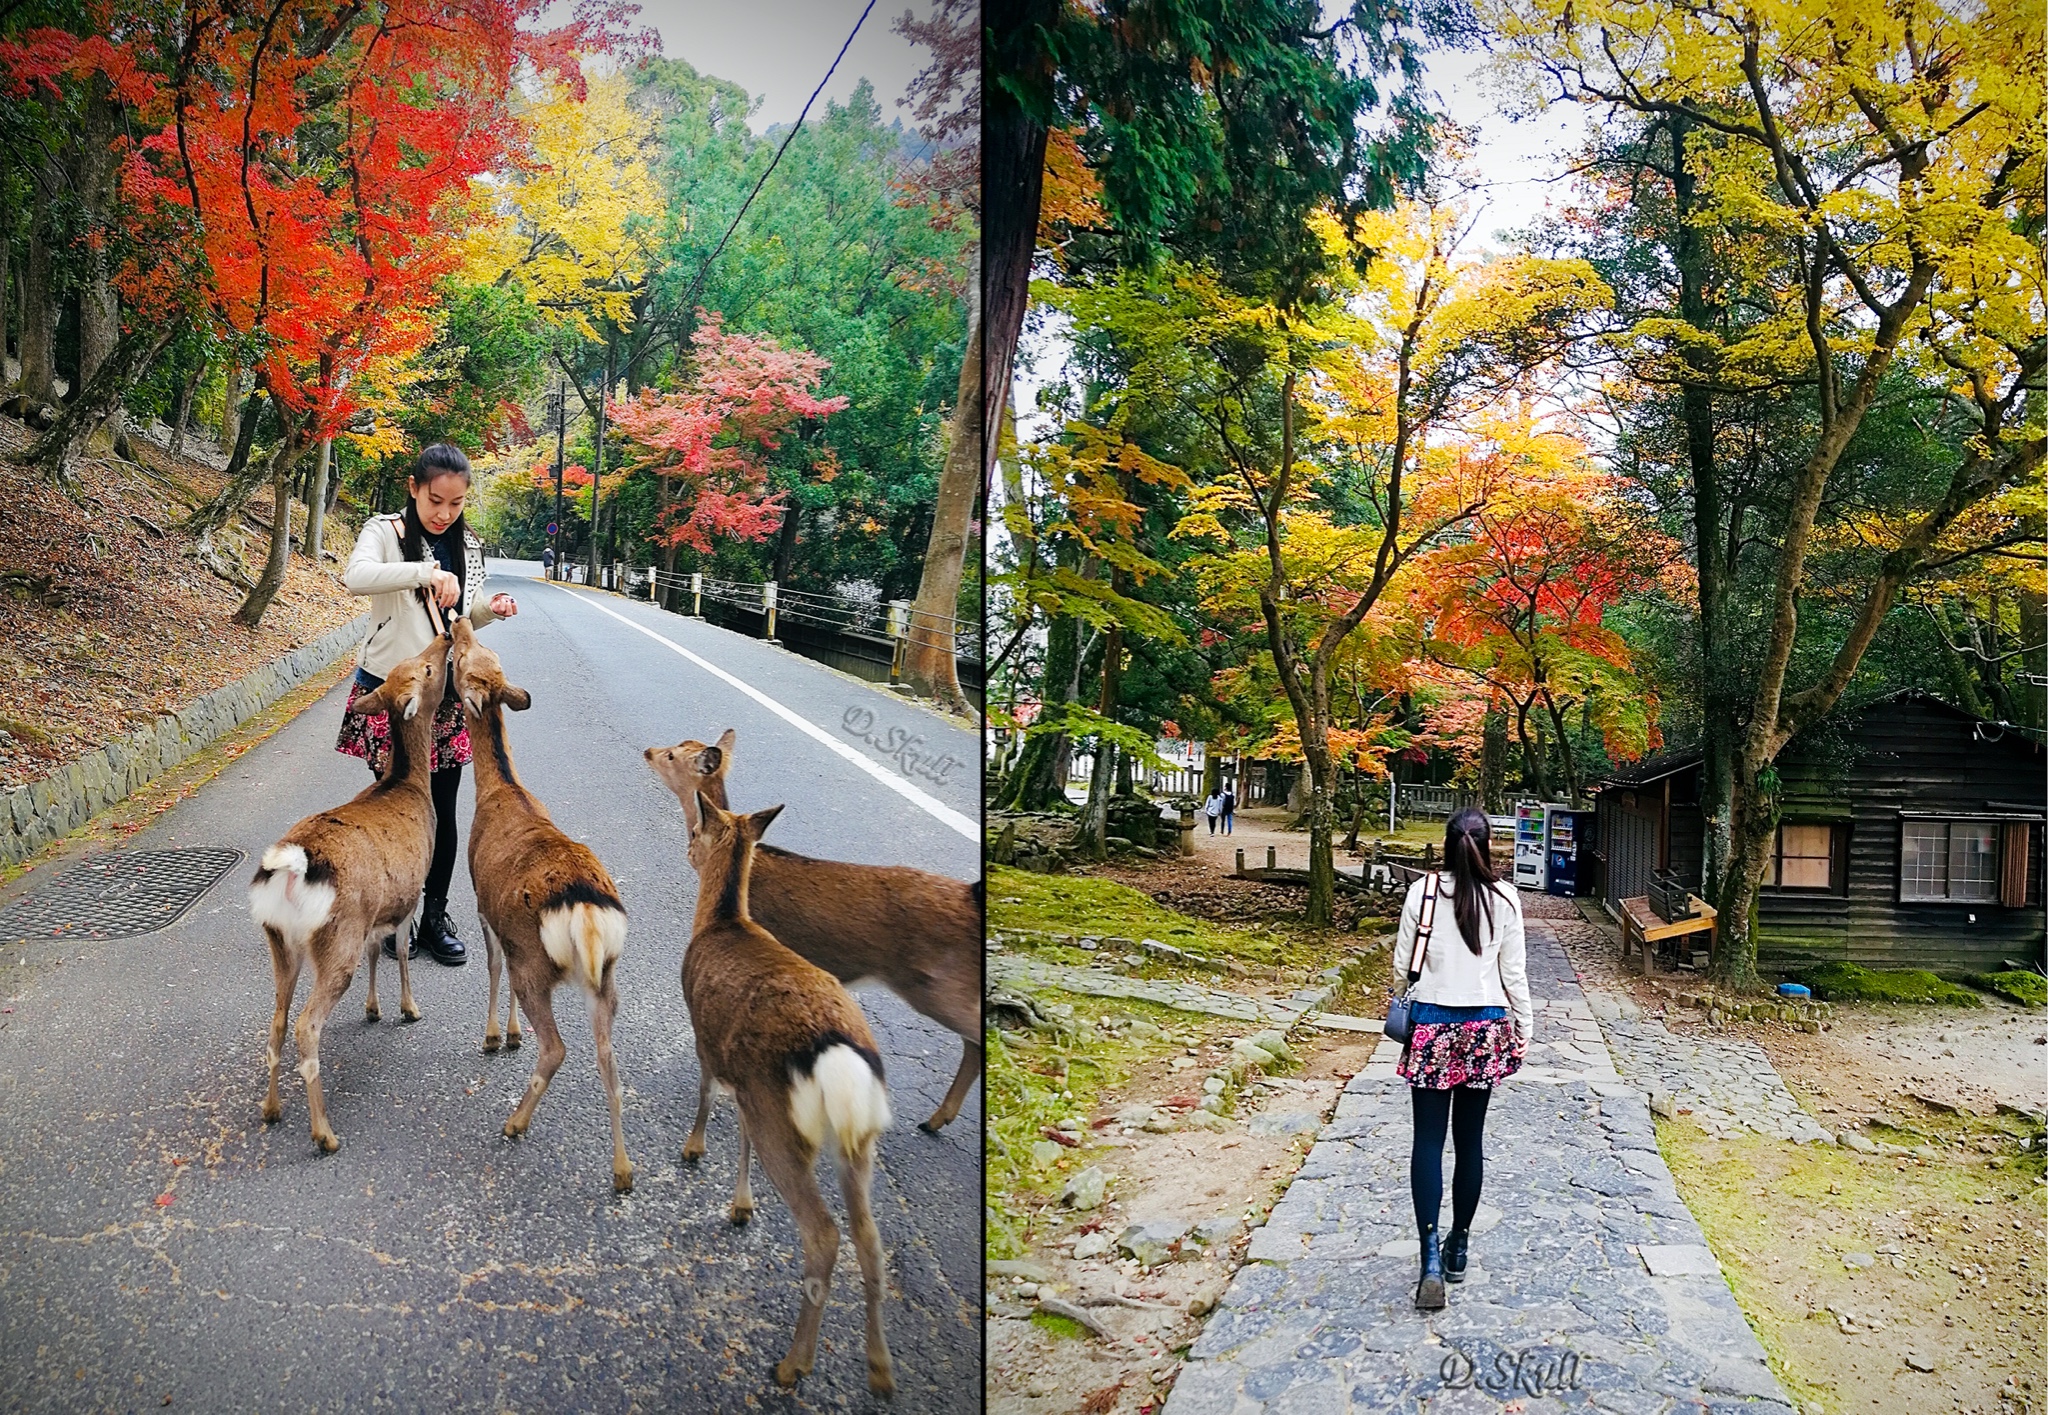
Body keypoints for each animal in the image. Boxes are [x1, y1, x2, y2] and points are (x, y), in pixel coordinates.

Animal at [247, 634, 448, 1154]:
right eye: (423, 669)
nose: (445, 636)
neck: (409, 785)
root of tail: (291, 869)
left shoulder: (376, 911)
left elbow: (378, 950)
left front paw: (374, 1010)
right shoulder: (409, 892)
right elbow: (400, 951)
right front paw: (408, 1009)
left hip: (279, 940)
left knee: (277, 1020)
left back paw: (272, 1109)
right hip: (336, 938)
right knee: (306, 1024)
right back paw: (324, 1134)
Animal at [448, 618, 630, 1195]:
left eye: (465, 657)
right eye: (479, 650)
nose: (459, 621)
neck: (500, 789)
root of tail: (589, 918)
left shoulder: (484, 905)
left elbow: (491, 965)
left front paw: (494, 1037)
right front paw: (509, 1035)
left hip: (537, 961)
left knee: (557, 1047)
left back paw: (514, 1122)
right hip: (606, 978)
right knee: (607, 1058)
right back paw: (623, 1170)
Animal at [684, 798, 892, 1392]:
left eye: (697, 828)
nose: (686, 849)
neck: (721, 921)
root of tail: (836, 1054)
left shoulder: (706, 1038)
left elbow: (707, 1095)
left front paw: (694, 1150)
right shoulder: (748, 1085)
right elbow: (740, 1136)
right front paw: (741, 1205)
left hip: (785, 1122)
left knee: (824, 1234)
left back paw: (793, 1364)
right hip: (858, 1138)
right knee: (869, 1239)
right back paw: (879, 1368)